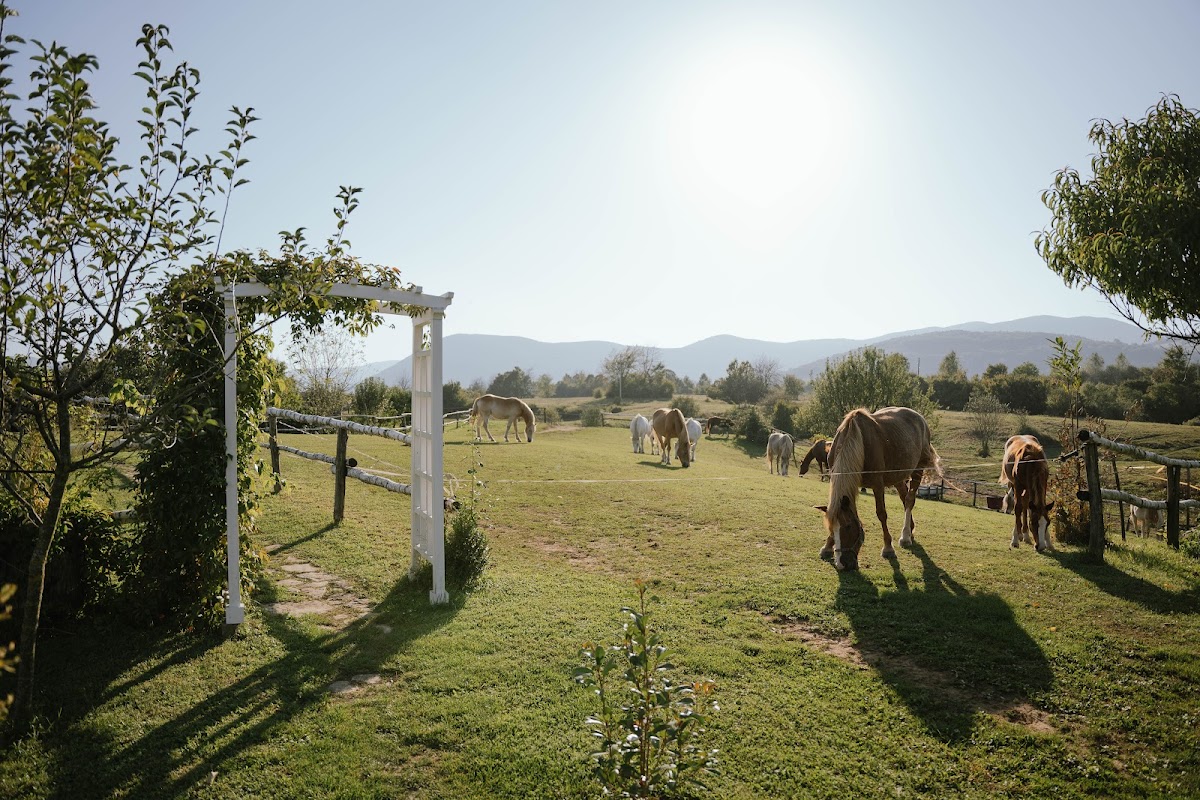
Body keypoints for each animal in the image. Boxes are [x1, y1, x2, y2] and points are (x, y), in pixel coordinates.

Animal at [814, 407, 942, 571]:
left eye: (848, 527)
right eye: (831, 528)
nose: (843, 563)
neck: (856, 439)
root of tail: (920, 418)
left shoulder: (877, 484)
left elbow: (881, 514)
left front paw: (888, 548)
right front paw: (827, 547)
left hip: (918, 469)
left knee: (909, 500)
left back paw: (905, 536)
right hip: (897, 476)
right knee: (903, 497)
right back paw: (910, 530)